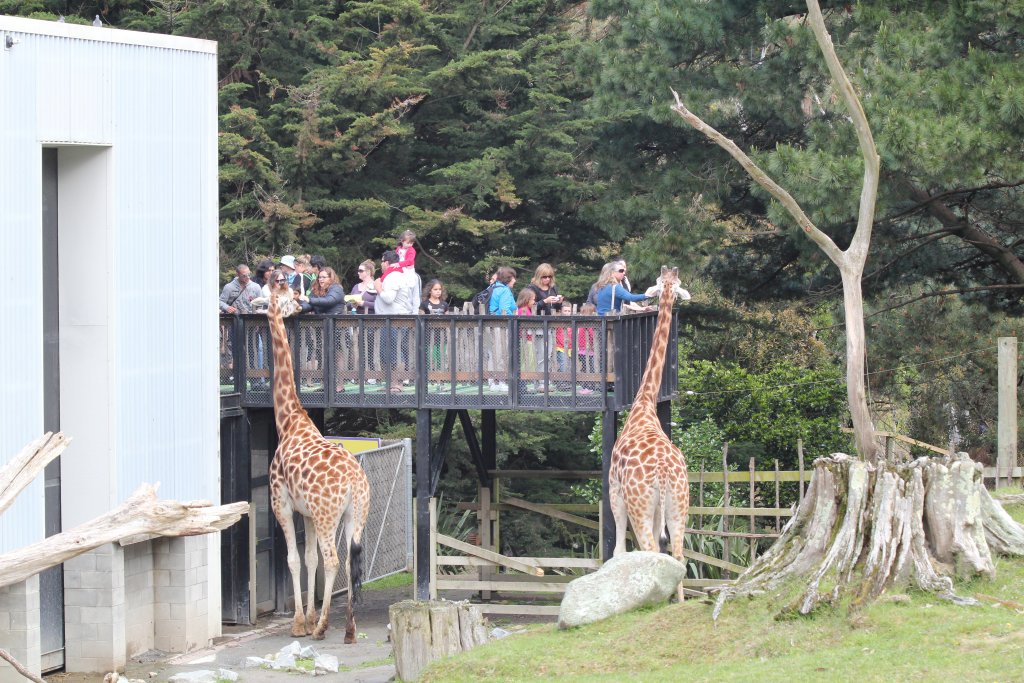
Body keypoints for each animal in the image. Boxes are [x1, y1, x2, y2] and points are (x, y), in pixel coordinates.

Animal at [265, 279, 370, 642]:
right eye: (290, 297)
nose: (302, 305)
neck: (288, 421)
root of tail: (354, 481)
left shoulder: (282, 504)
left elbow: (294, 560)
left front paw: (300, 623)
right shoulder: (307, 513)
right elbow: (309, 559)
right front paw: (308, 617)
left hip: (328, 515)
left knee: (334, 560)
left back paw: (324, 628)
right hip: (356, 513)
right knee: (351, 558)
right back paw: (349, 629)